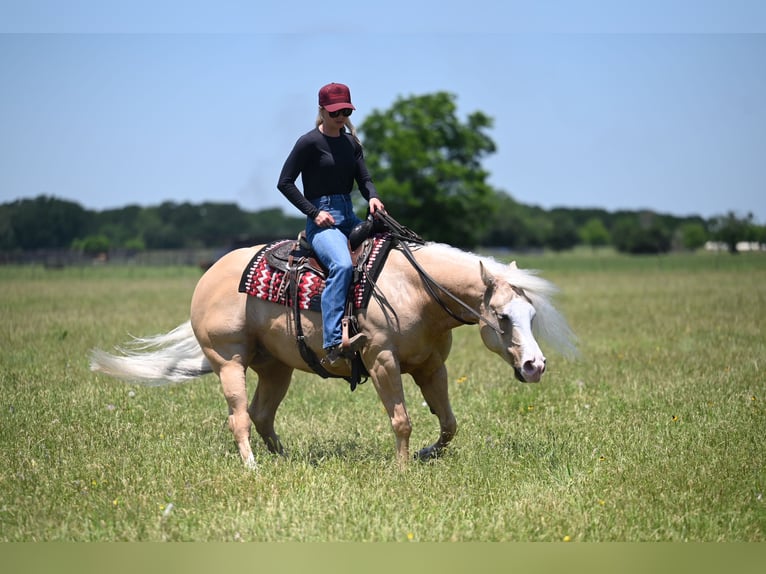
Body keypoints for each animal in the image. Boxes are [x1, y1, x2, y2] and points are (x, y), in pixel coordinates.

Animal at [90, 237, 576, 467]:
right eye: (503, 317)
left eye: (532, 315)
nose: (535, 366)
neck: (414, 288)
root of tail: (209, 275)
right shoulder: (383, 362)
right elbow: (402, 419)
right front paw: (401, 470)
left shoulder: (430, 366)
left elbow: (449, 423)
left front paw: (425, 456)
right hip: (229, 361)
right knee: (239, 417)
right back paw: (253, 466)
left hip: (276, 369)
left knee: (262, 414)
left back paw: (285, 459)